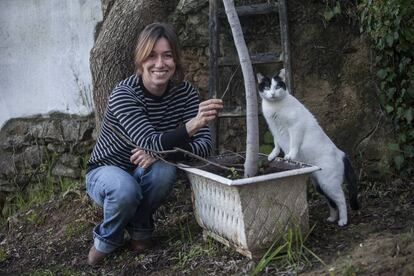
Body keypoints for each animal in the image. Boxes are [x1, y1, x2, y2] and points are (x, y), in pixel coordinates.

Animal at [258, 69, 360, 226]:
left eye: (277, 86)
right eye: (267, 87)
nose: (273, 94)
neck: (275, 107)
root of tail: (341, 153)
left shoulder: (295, 127)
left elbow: (293, 143)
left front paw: (290, 155)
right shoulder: (273, 129)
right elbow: (276, 143)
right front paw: (274, 154)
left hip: (328, 183)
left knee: (341, 199)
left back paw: (343, 221)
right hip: (319, 186)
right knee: (332, 202)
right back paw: (332, 218)